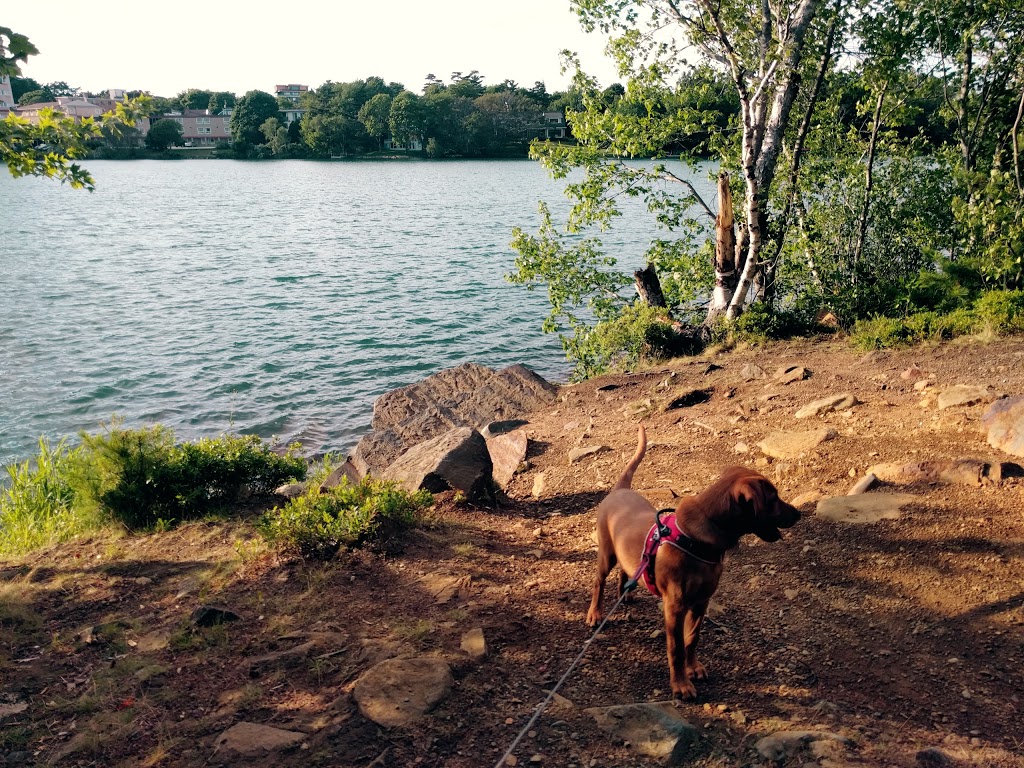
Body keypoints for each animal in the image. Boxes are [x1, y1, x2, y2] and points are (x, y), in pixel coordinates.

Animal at [585, 428, 798, 704]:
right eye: (773, 498)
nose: (798, 514)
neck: (696, 539)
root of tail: (621, 489)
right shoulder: (675, 607)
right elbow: (676, 647)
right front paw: (680, 685)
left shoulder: (701, 601)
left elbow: (692, 639)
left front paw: (693, 668)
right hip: (606, 554)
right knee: (599, 582)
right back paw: (595, 613)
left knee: (627, 567)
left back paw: (627, 592)